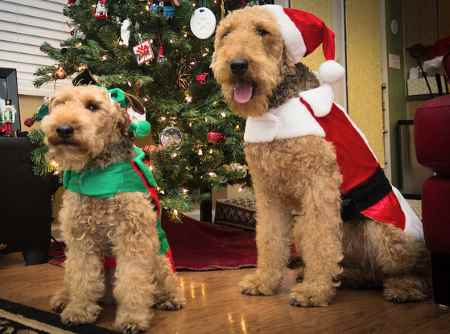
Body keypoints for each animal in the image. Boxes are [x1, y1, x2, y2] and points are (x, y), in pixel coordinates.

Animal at [40, 86, 185, 334]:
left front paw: (132, 319)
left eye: (92, 106)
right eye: (60, 103)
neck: (98, 172)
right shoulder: (81, 239)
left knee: (165, 283)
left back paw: (170, 299)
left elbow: (132, 281)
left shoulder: (132, 237)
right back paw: (62, 299)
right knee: (71, 281)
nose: (63, 129)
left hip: (158, 258)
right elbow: (82, 278)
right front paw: (78, 311)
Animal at [211, 5, 428, 308]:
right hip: (304, 228)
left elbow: (321, 243)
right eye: (226, 33)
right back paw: (342, 277)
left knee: (410, 269)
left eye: (263, 31)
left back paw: (402, 288)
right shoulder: (268, 192)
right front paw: (263, 282)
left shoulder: (319, 186)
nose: (238, 65)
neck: (276, 109)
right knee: (357, 269)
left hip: (386, 232)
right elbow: (269, 239)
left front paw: (314, 292)